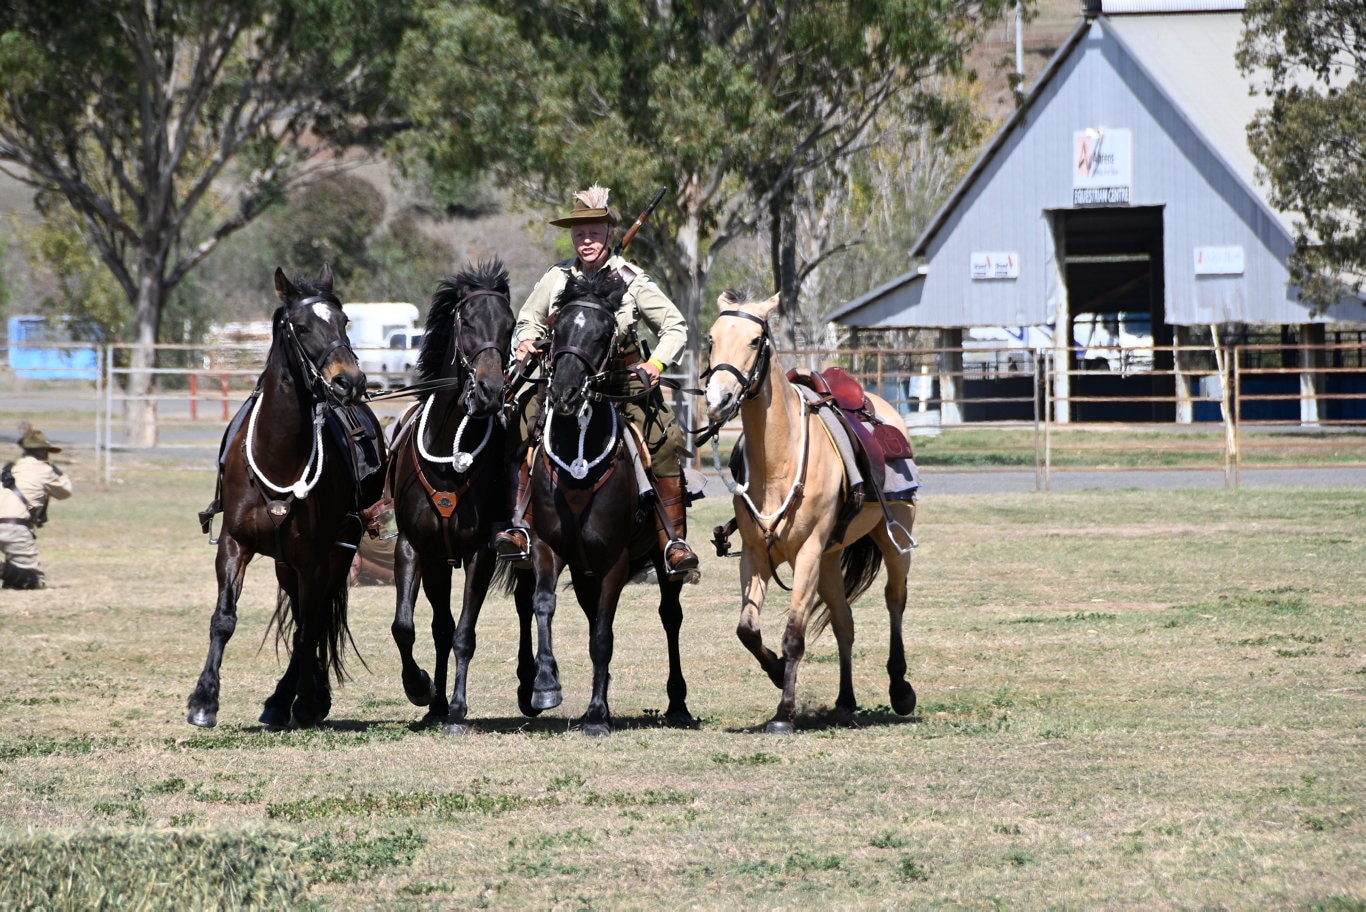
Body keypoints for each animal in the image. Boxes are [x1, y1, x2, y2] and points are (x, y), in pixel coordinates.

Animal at [184, 263, 387, 726]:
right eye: (302, 326)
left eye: (344, 321)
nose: (350, 381)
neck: (277, 454)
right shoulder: (234, 544)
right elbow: (224, 619)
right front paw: (204, 701)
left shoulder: (314, 557)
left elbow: (308, 629)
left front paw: (307, 700)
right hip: (284, 564)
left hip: (334, 557)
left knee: (312, 620)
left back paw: (296, 697)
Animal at [387, 258, 530, 731]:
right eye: (466, 322)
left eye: (509, 325)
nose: (489, 392)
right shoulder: (417, 549)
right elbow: (411, 627)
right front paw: (422, 691)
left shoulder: (479, 553)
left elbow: (465, 633)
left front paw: (457, 708)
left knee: (527, 605)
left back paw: (532, 687)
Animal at [521, 267, 693, 737]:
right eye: (557, 326)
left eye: (603, 333)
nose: (564, 393)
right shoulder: (549, 547)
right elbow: (544, 605)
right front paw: (546, 686)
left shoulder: (613, 560)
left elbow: (602, 636)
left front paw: (597, 715)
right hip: (584, 572)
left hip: (661, 563)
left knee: (670, 617)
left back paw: (678, 703)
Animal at [704, 292, 917, 731]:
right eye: (711, 338)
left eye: (756, 340)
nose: (717, 401)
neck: (778, 461)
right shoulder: (755, 556)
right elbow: (748, 630)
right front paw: (774, 671)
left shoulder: (806, 555)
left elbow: (794, 636)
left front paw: (784, 712)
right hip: (831, 559)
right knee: (843, 622)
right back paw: (845, 700)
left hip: (893, 540)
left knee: (895, 600)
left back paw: (901, 689)